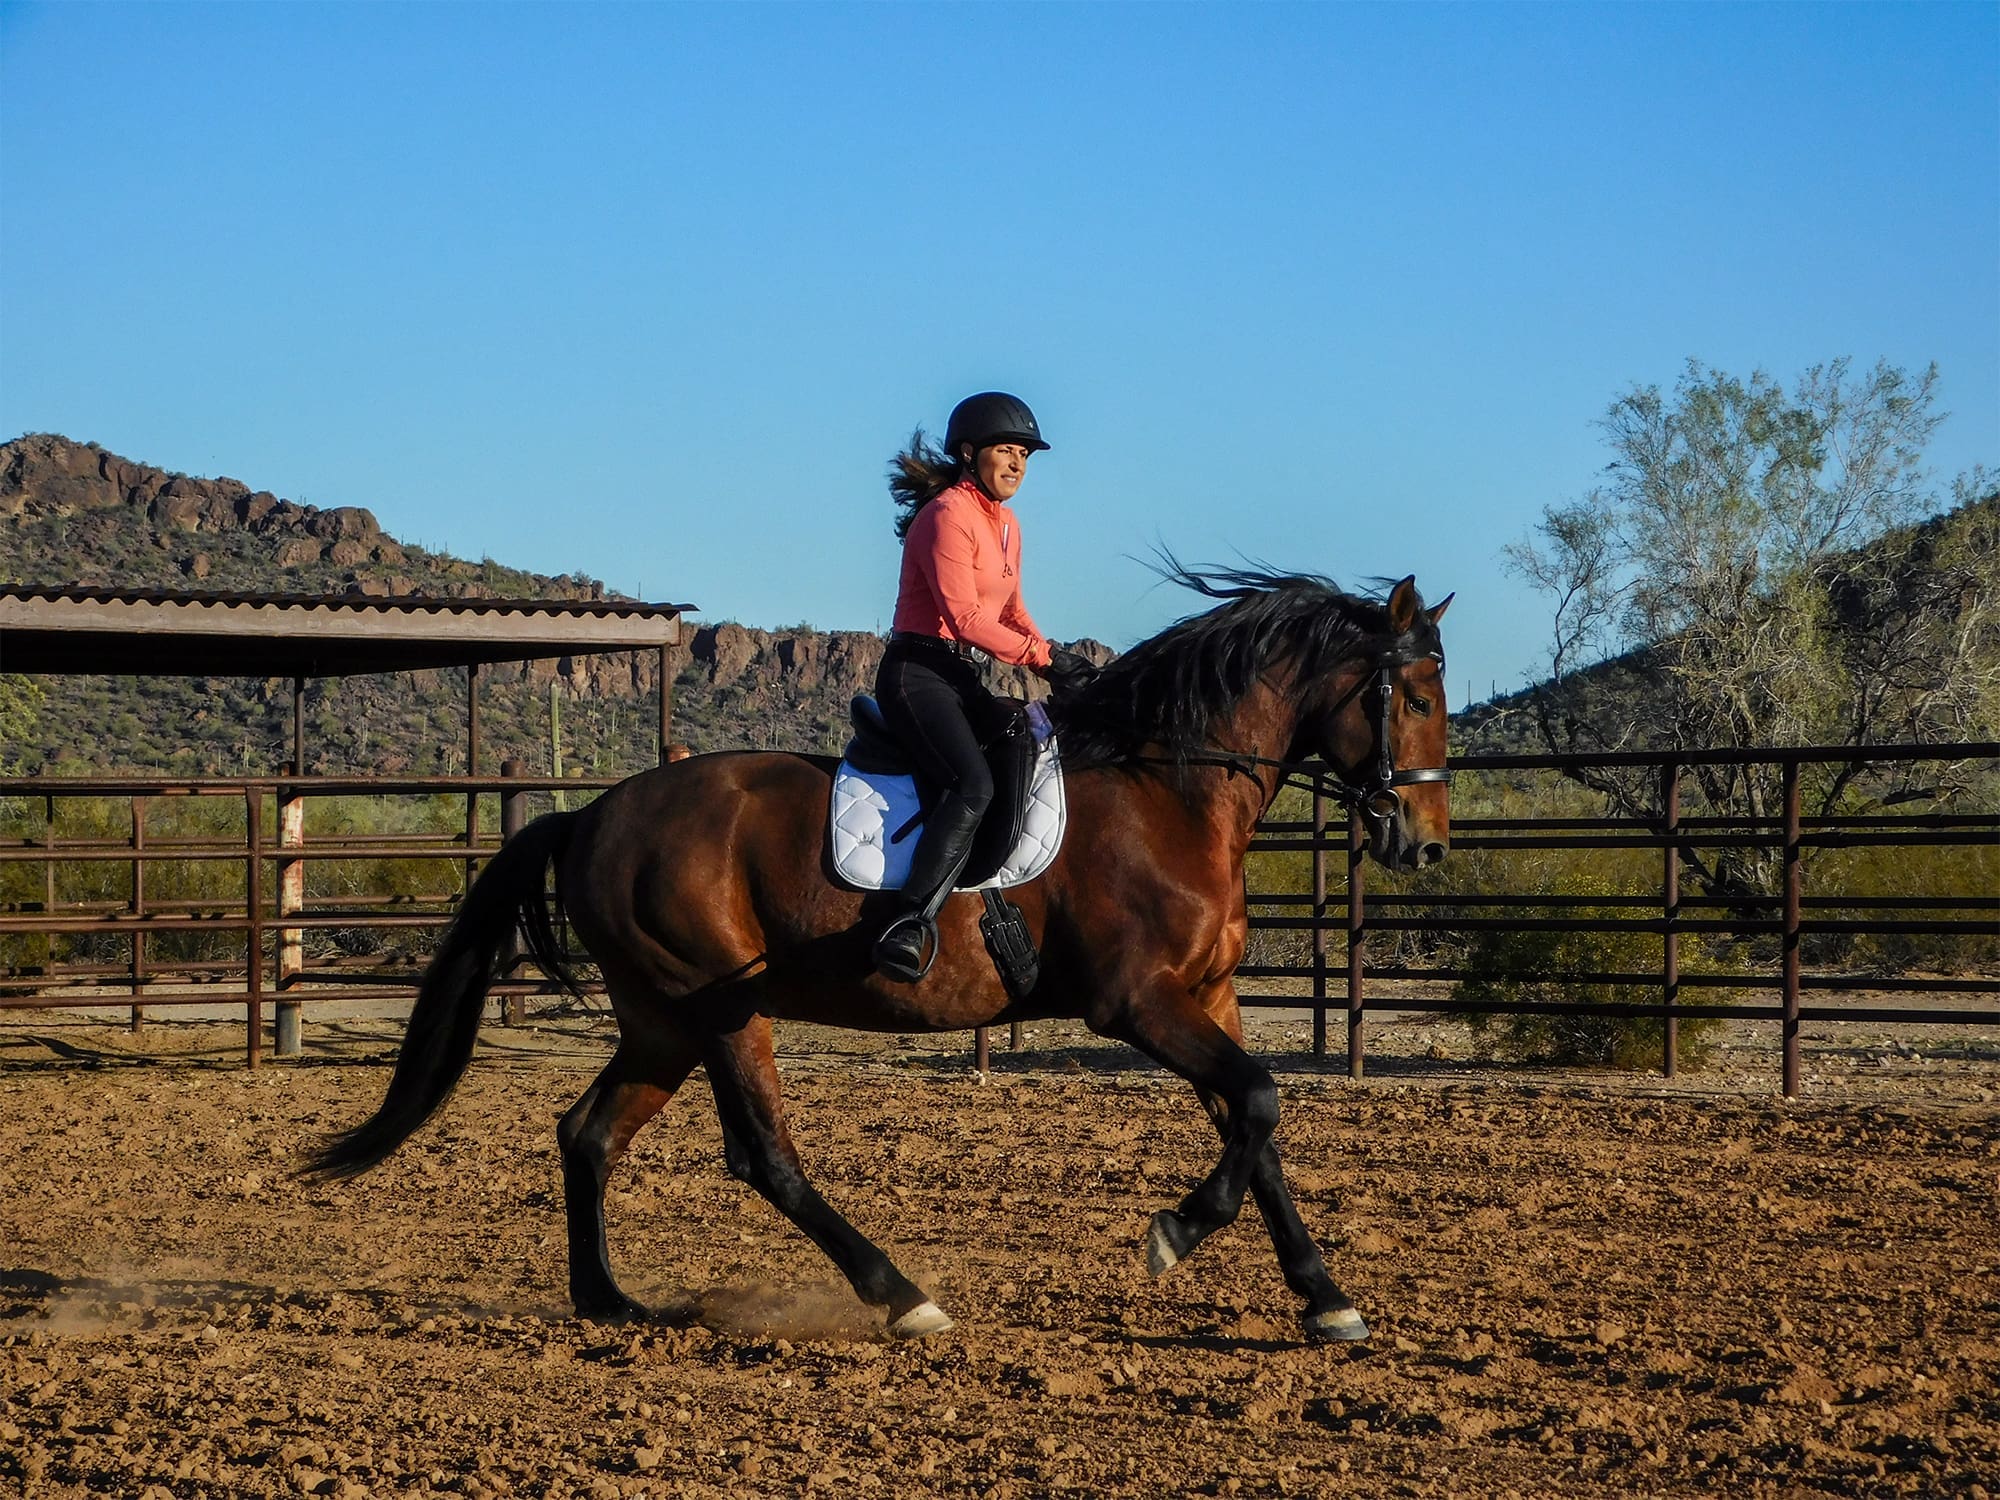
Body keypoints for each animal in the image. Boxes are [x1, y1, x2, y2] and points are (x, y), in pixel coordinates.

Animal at [304, 568, 1448, 1344]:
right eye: (1419, 696)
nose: (1425, 844)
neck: (1168, 788)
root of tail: (590, 813)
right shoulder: (1138, 1003)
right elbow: (1256, 1103)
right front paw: (1175, 1233)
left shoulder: (1207, 998)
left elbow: (1257, 1127)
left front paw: (1325, 1300)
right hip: (719, 1008)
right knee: (761, 1157)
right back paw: (902, 1299)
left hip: (661, 1021)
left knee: (587, 1134)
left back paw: (609, 1301)